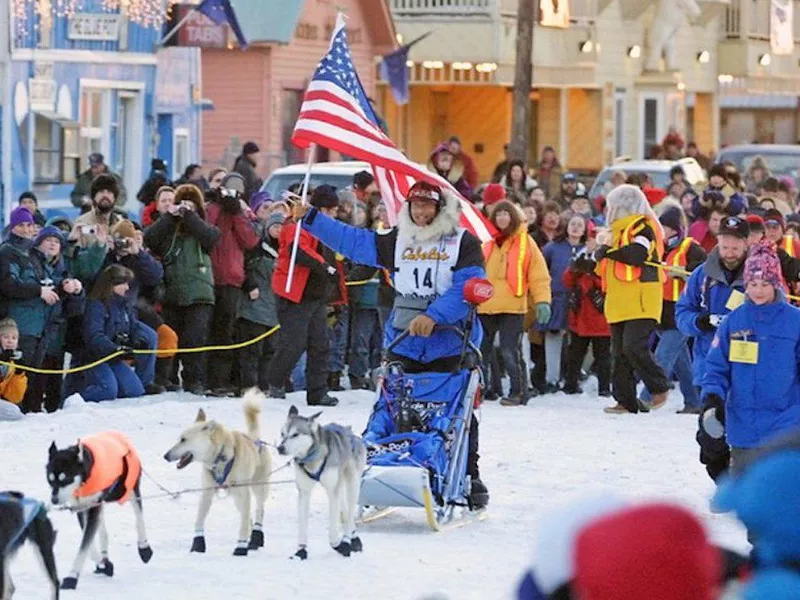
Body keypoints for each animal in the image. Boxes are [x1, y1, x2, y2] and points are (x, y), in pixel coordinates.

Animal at [276, 406, 368, 560]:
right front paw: (301, 551)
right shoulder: (304, 492)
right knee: (344, 509)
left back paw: (349, 539)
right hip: (338, 486)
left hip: (352, 485)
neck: (312, 457)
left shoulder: (332, 491)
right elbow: (303, 525)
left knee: (349, 514)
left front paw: (338, 545)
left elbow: (333, 529)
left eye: (295, 434)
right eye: (282, 434)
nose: (280, 448)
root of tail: (351, 433)